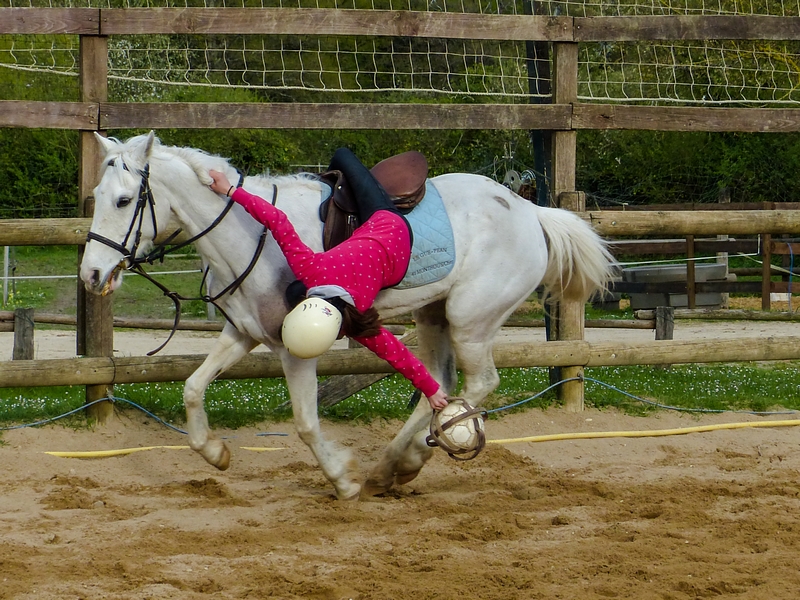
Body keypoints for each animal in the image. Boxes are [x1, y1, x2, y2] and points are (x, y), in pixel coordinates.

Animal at [79, 132, 612, 502]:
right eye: (98, 196)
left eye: (124, 201)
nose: (91, 273)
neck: (250, 235)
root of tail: (530, 210)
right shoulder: (244, 333)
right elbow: (192, 387)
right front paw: (215, 453)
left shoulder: (293, 350)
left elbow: (305, 423)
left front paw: (342, 480)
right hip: (434, 316)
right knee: (439, 386)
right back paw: (397, 465)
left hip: (470, 321)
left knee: (478, 384)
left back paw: (396, 464)